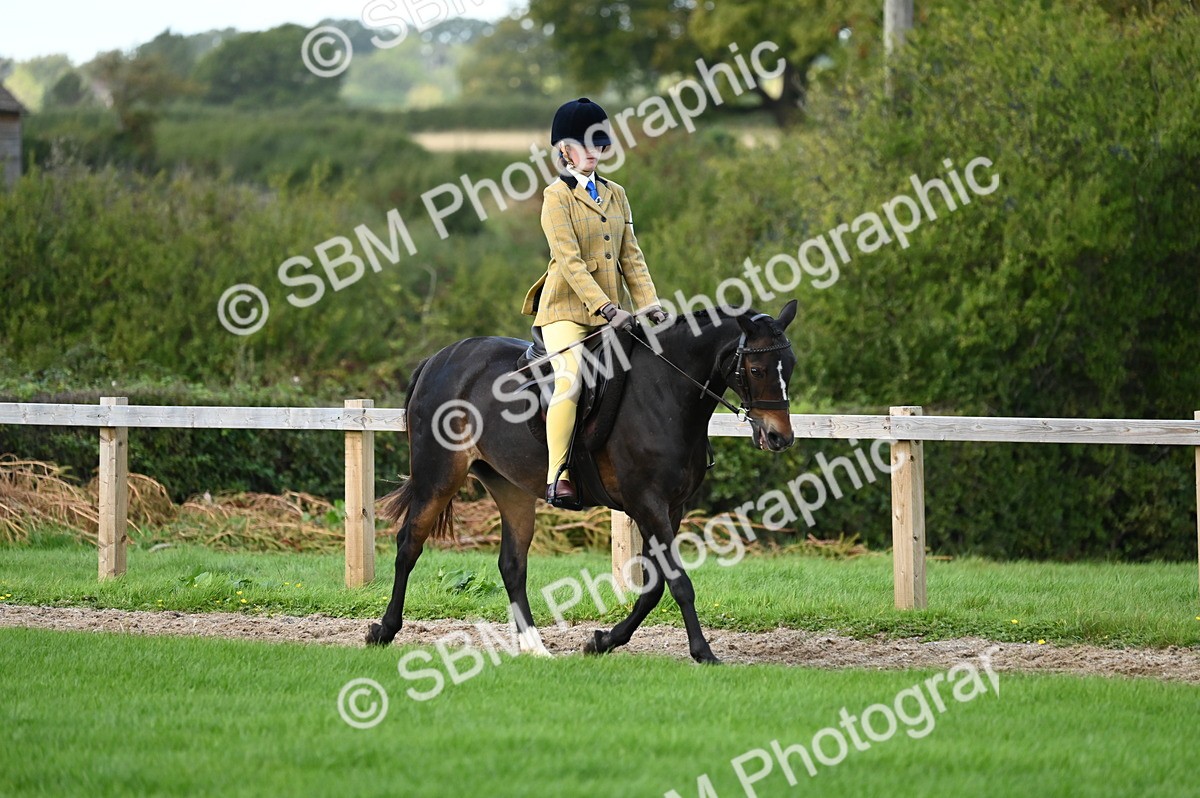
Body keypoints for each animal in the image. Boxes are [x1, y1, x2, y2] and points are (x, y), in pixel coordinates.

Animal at [366, 300, 798, 663]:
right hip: (439, 476)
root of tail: (440, 358)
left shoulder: (671, 508)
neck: (666, 391)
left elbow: (654, 586)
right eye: (756, 370)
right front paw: (703, 652)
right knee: (409, 545)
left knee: (512, 564)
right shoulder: (648, 504)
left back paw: (535, 647)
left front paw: (604, 640)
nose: (779, 437)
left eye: (789, 366)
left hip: (511, 488)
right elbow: (676, 582)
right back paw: (384, 631)